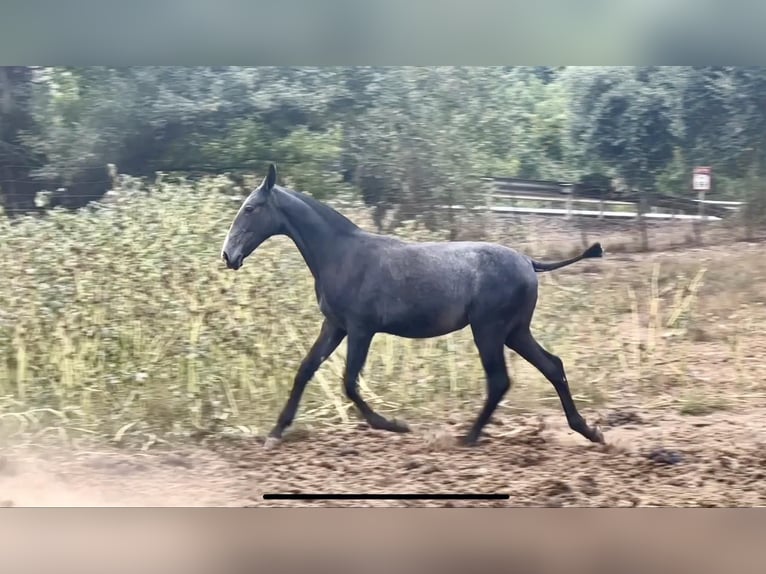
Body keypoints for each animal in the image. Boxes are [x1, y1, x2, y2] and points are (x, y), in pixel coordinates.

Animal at [220, 164, 608, 452]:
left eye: (250, 208)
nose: (228, 255)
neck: (341, 255)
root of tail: (529, 262)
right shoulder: (335, 326)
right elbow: (305, 370)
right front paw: (275, 433)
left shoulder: (361, 329)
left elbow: (349, 383)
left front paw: (394, 425)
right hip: (514, 332)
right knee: (552, 366)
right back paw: (589, 431)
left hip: (489, 330)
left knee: (500, 379)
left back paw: (468, 437)